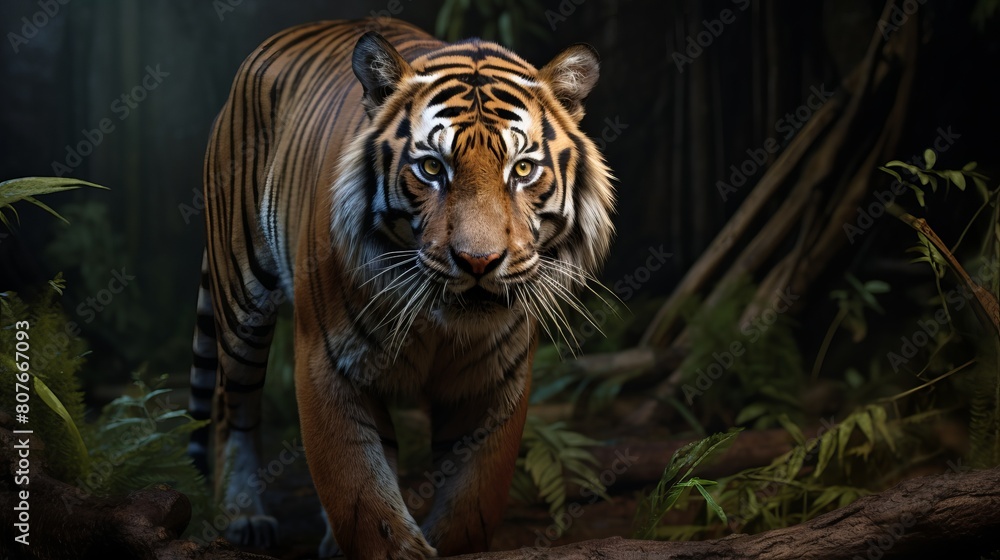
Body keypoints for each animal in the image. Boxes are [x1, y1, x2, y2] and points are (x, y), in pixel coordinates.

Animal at [187, 17, 615, 559]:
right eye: (432, 167)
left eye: (522, 169)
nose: (478, 262)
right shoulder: (328, 362)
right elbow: (361, 493)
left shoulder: (495, 379)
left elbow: (470, 504)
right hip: (241, 298)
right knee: (231, 406)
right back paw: (244, 517)